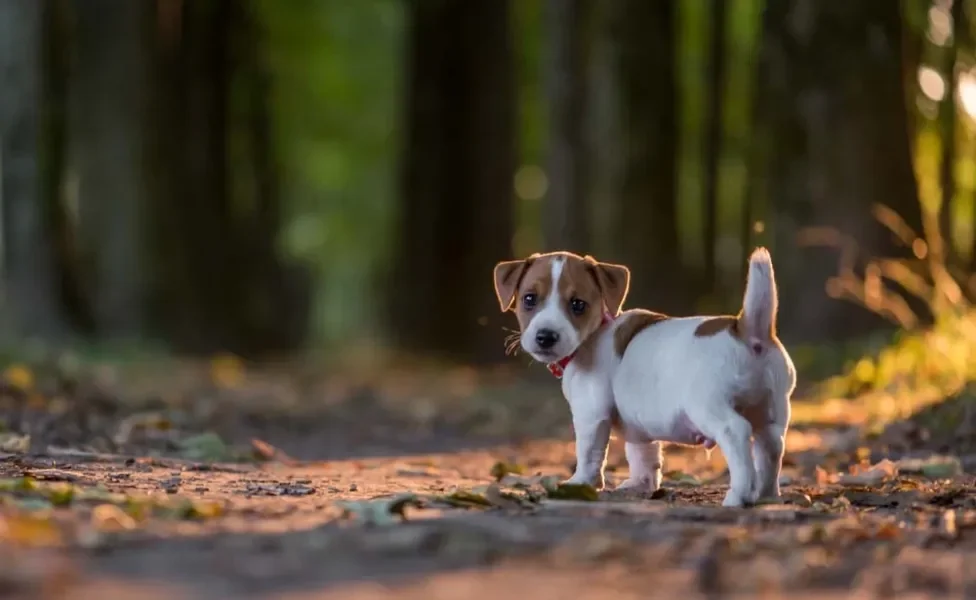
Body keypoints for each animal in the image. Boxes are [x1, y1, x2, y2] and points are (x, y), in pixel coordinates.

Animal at [492, 248, 796, 506]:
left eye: (578, 305)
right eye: (529, 299)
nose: (546, 336)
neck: (595, 333)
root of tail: (747, 331)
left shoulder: (591, 414)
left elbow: (589, 453)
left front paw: (581, 482)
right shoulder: (639, 427)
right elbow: (642, 454)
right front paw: (641, 483)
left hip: (710, 408)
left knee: (737, 433)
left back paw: (739, 495)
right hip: (772, 411)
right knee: (771, 446)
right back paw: (766, 494)